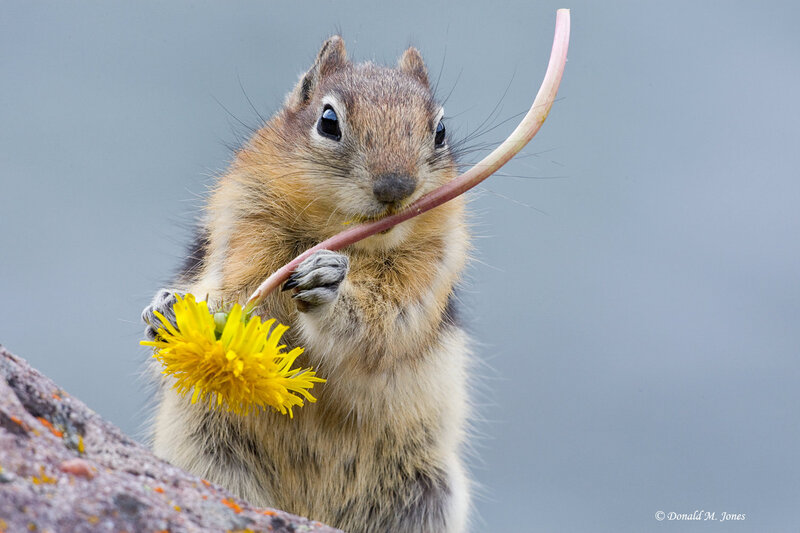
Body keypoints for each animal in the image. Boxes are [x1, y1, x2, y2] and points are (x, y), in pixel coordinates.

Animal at [142, 35, 471, 533]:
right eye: (328, 121)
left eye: (440, 132)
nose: (396, 187)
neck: (343, 237)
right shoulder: (247, 220)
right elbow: (234, 292)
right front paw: (169, 311)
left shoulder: (430, 268)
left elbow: (383, 325)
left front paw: (327, 285)